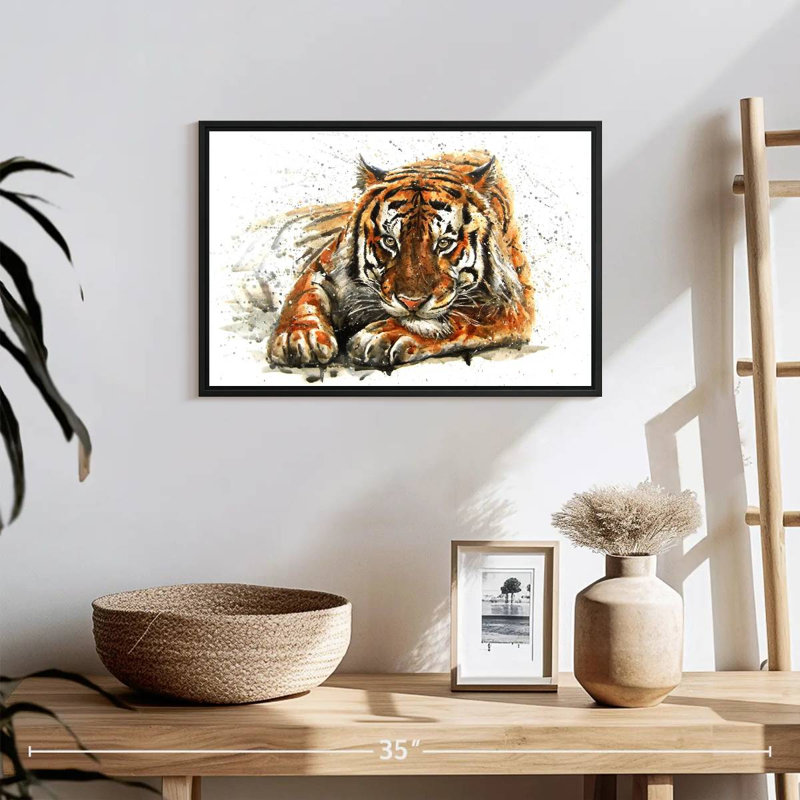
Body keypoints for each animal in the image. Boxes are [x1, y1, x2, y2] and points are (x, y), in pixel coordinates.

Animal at [267, 150, 534, 370]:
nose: (411, 302)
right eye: (389, 241)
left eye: (444, 244)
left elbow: (462, 317)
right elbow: (302, 296)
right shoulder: (325, 265)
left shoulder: (512, 303)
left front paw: (385, 335)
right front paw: (299, 337)